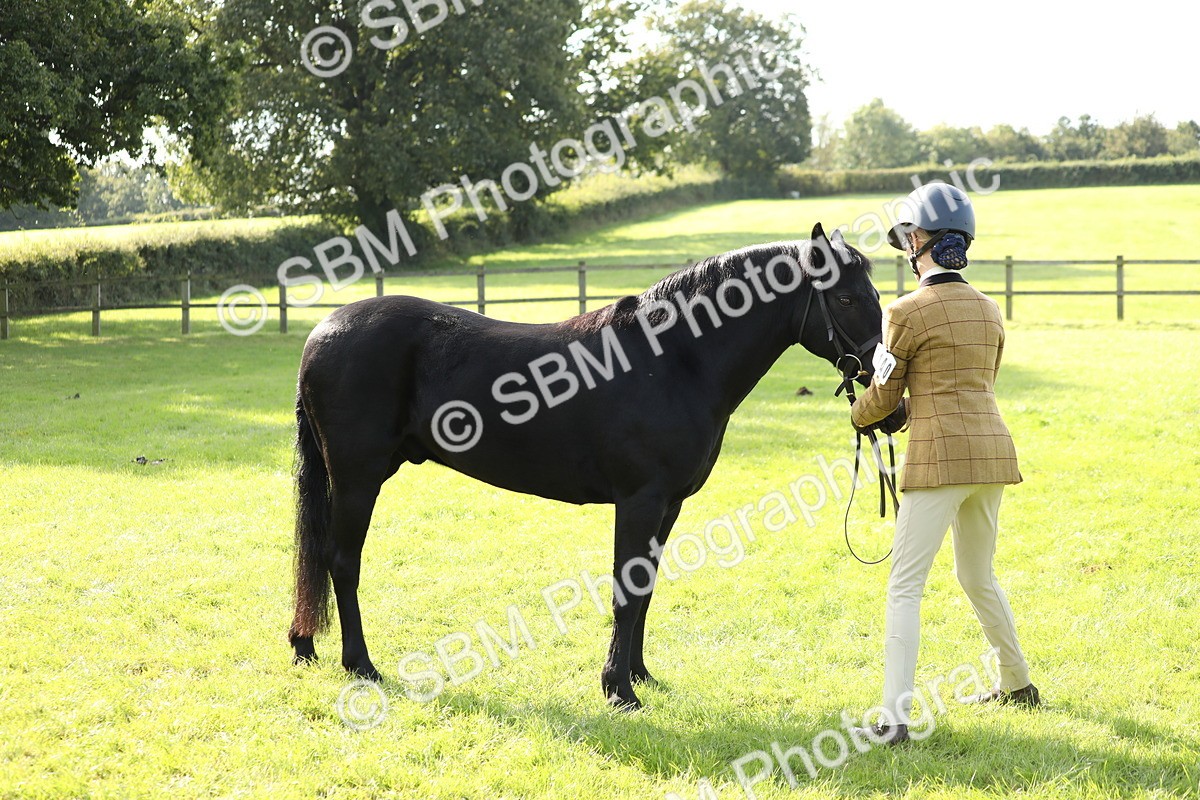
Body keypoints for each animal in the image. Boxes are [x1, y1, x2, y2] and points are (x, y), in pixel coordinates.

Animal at [287, 223, 884, 708]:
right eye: (847, 298)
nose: (881, 370)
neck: (674, 359)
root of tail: (322, 331)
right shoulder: (640, 501)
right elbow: (626, 591)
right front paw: (618, 690)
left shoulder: (668, 506)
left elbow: (646, 590)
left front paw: (639, 675)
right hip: (358, 479)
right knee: (342, 562)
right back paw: (361, 665)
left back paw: (306, 644)